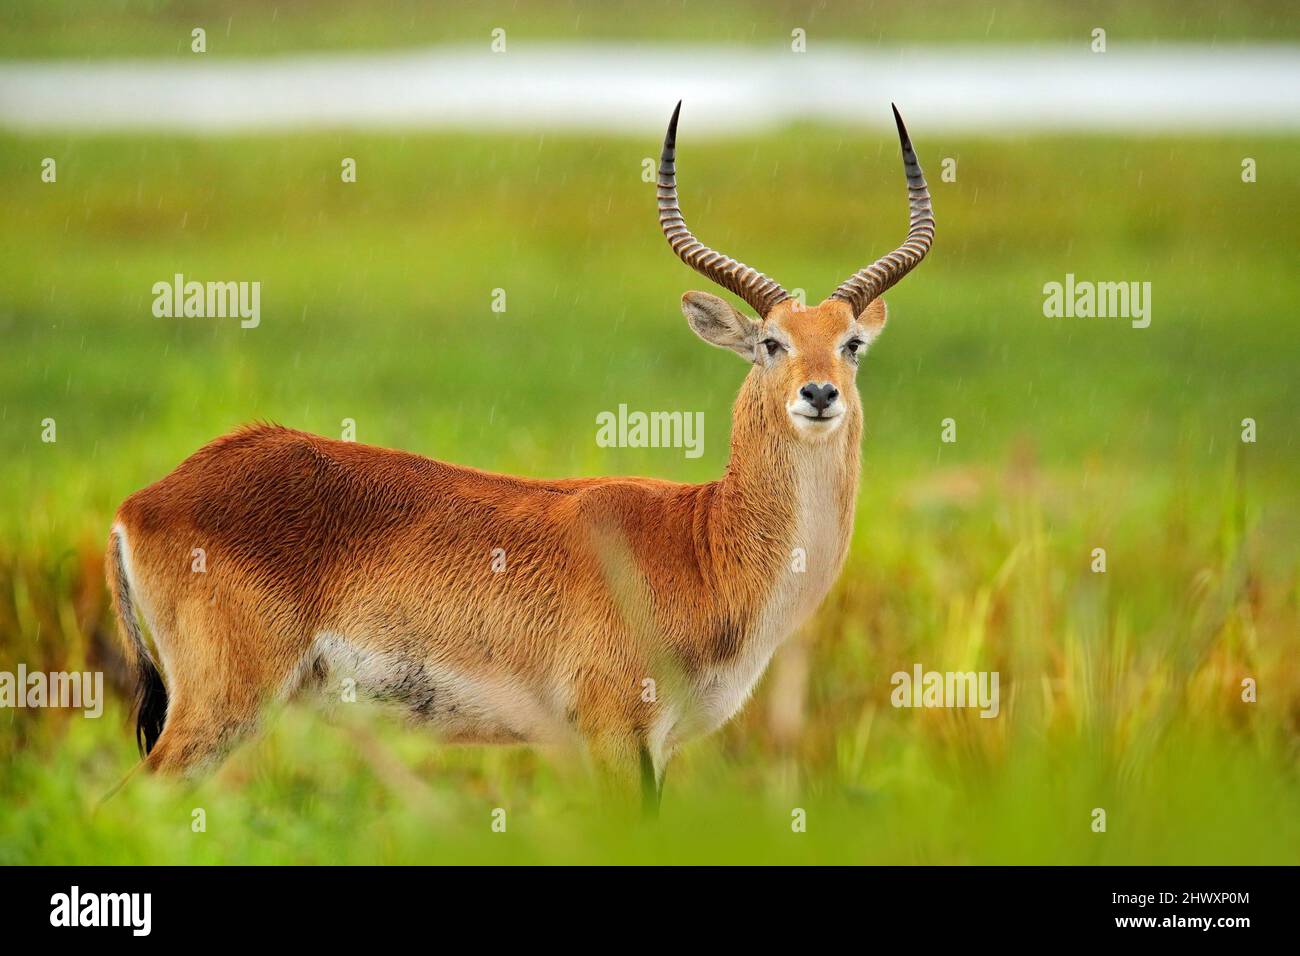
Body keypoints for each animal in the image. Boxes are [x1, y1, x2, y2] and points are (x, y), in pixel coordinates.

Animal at [106, 102, 934, 810]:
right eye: (771, 343)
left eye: (851, 344)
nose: (819, 394)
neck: (701, 543)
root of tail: (142, 502)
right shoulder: (614, 732)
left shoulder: (655, 746)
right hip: (222, 705)